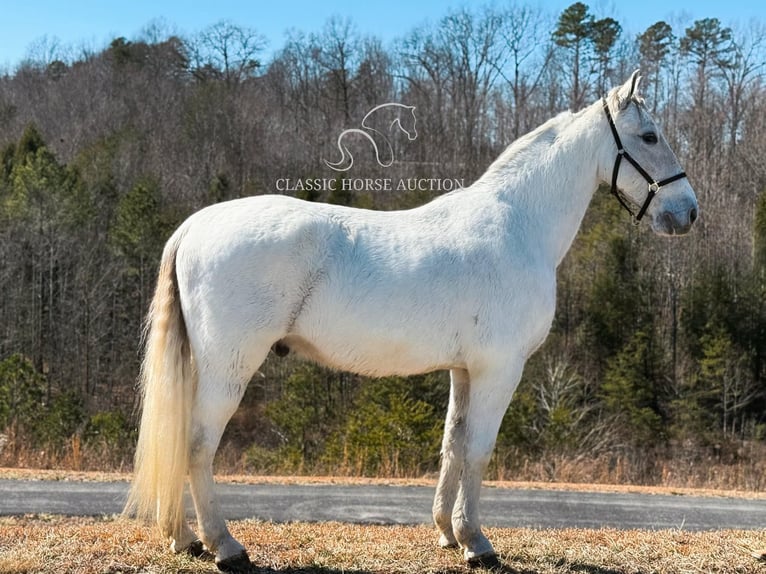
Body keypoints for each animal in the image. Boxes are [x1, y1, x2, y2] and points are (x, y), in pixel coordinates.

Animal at [126, 73, 704, 574]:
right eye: (649, 136)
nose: (688, 213)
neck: (518, 226)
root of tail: (196, 225)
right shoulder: (499, 369)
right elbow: (479, 450)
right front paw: (477, 544)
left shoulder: (465, 370)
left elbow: (452, 444)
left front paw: (447, 532)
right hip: (230, 366)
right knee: (199, 444)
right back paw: (226, 547)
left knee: (179, 438)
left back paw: (184, 539)